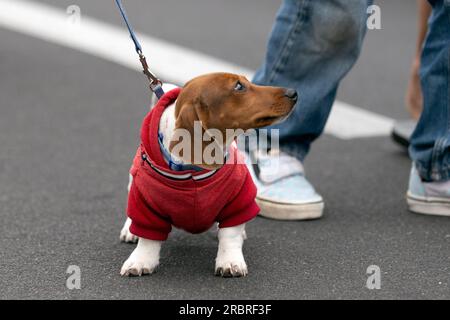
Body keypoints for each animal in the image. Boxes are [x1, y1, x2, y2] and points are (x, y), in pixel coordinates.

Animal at [118, 72, 298, 278]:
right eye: (238, 86)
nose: (293, 92)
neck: (191, 172)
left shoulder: (238, 200)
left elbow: (230, 235)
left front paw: (230, 262)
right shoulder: (146, 202)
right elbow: (148, 239)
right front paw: (140, 260)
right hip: (134, 184)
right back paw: (130, 231)